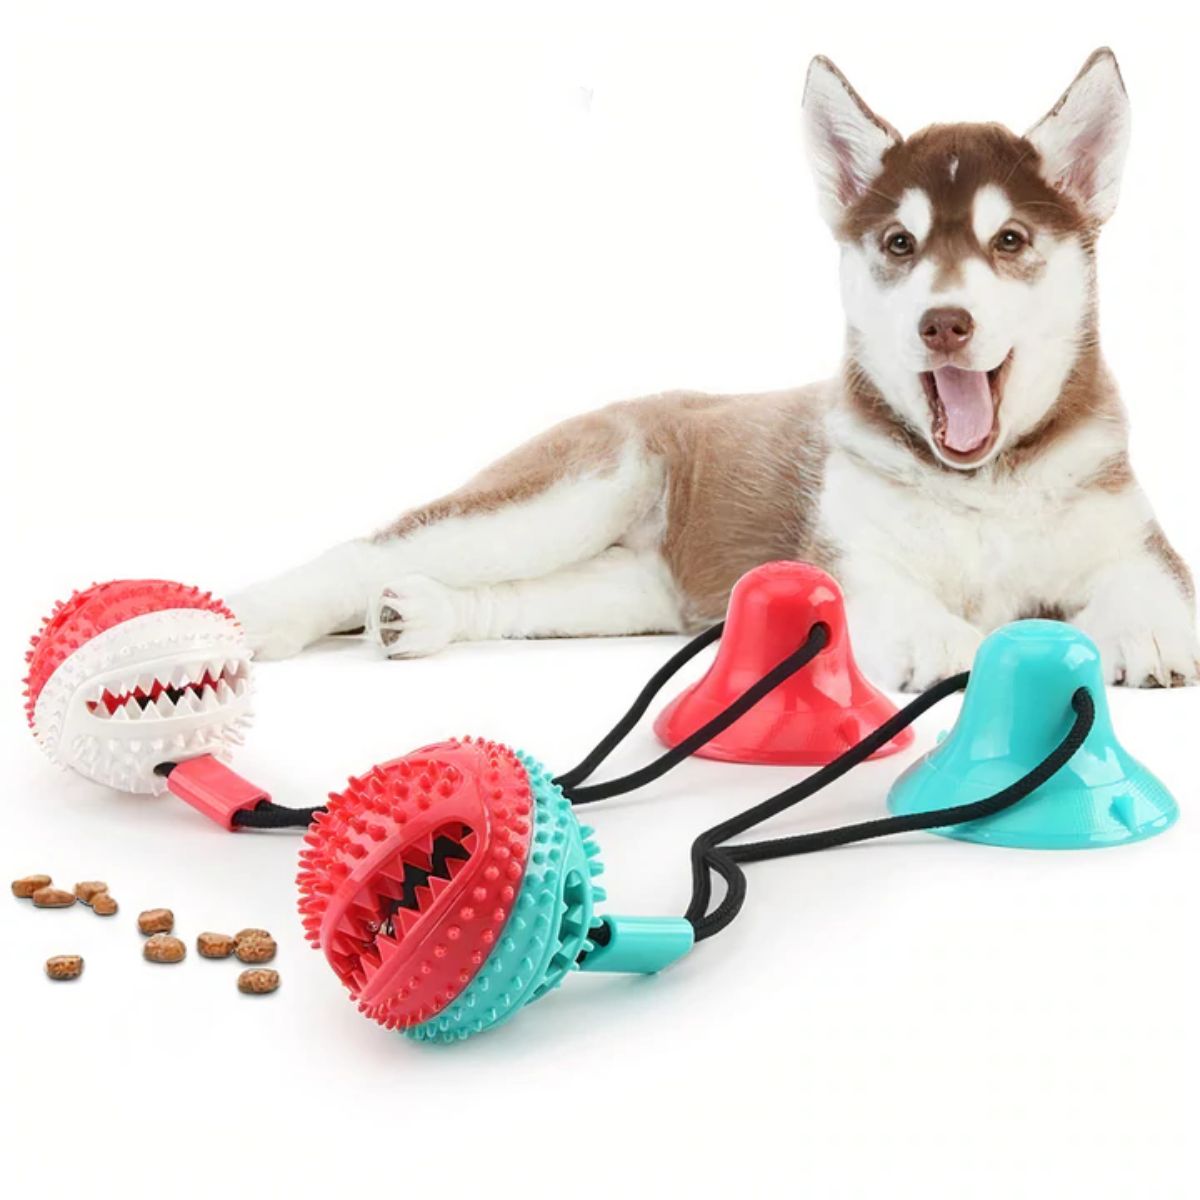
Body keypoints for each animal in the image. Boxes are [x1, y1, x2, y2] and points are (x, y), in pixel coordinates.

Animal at [229, 49, 1195, 696]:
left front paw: (1146, 633)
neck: (984, 485)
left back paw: (424, 614)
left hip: (632, 590)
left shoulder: (1136, 542)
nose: (944, 323)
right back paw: (251, 619)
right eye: (899, 244)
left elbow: (1149, 590)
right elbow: (893, 597)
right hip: (575, 490)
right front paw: (939, 641)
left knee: (511, 597)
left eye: (1010, 241)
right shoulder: (845, 557)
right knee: (367, 548)